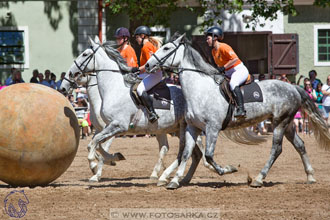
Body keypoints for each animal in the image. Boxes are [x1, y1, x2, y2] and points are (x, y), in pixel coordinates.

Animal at [145, 33, 330, 188]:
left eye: (166, 48)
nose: (147, 65)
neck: (199, 90)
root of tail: (293, 88)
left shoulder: (212, 127)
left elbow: (209, 155)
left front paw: (227, 169)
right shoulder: (193, 127)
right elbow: (185, 154)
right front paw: (175, 181)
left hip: (280, 123)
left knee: (276, 149)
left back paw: (258, 179)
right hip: (287, 123)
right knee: (300, 145)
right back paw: (310, 176)